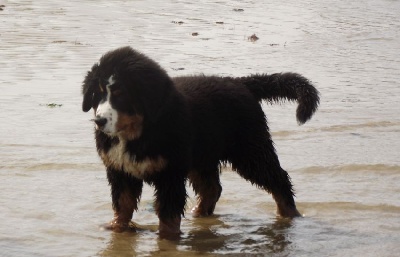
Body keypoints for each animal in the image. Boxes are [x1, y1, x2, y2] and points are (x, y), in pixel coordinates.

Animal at [80, 45, 318, 236]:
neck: (136, 134)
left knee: (279, 180)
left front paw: (167, 239)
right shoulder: (120, 172)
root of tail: (239, 82)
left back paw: (290, 214)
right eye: (97, 94)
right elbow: (122, 206)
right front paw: (117, 228)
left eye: (121, 94)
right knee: (212, 189)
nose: (99, 120)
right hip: (202, 157)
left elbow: (168, 213)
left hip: (250, 151)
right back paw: (199, 214)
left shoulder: (170, 174)